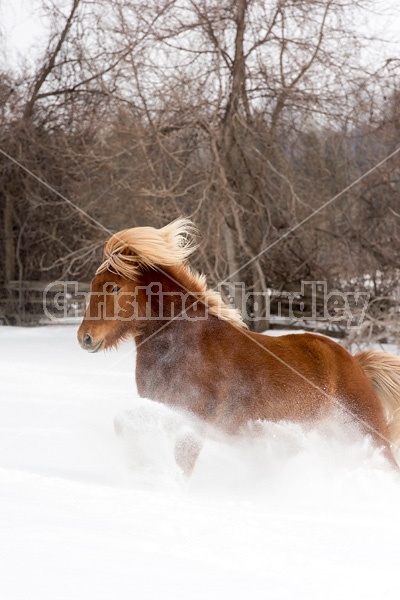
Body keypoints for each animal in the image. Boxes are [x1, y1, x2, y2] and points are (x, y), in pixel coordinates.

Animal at [77, 218, 400, 476]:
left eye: (114, 287)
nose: (84, 338)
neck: (182, 344)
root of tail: (356, 364)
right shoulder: (161, 408)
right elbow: (125, 425)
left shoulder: (193, 418)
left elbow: (183, 461)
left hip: (365, 434)